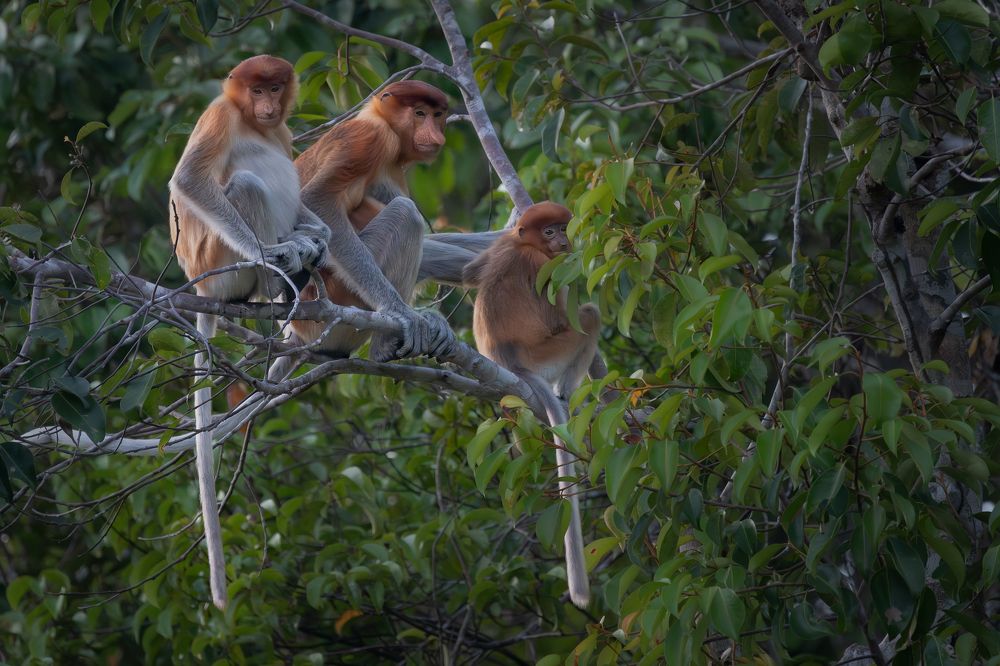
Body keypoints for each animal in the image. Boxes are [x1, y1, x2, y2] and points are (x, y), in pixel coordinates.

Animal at [168, 54, 331, 610]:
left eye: (275, 88)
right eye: (255, 89)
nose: (266, 104)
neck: (252, 122)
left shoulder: (281, 130)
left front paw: (319, 232)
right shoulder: (221, 114)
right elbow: (191, 182)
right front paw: (275, 252)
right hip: (219, 265)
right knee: (244, 186)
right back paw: (275, 274)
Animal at [290, 80, 455, 362]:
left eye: (437, 115)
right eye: (419, 113)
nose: (436, 136)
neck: (380, 119)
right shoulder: (370, 138)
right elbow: (317, 199)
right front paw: (400, 311)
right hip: (340, 296)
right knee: (406, 214)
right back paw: (384, 345)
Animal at [462, 202, 600, 608]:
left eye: (561, 227)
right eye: (549, 232)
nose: (563, 241)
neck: (527, 245)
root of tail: (511, 361)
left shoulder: (506, 243)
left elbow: (469, 274)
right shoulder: (541, 266)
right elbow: (562, 314)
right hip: (549, 354)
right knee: (588, 316)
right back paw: (565, 395)